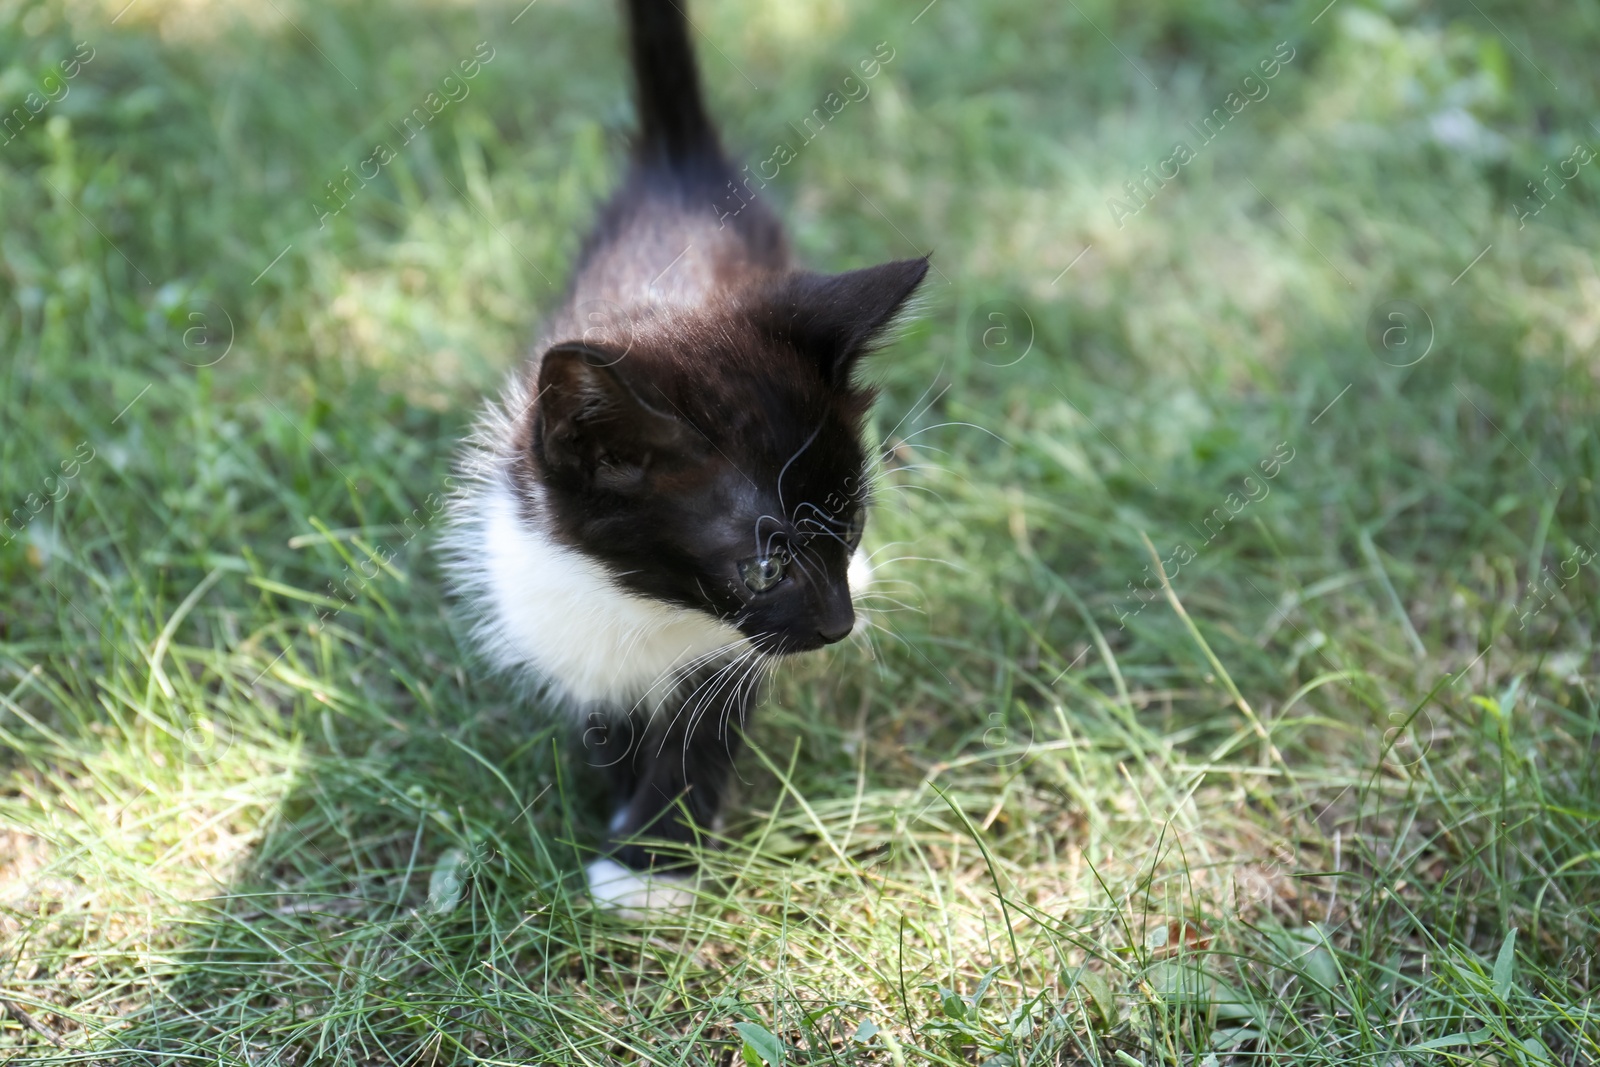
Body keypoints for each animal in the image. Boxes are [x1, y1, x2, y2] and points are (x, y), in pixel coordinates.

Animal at [444, 0, 934, 921]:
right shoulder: (544, 580)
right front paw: (617, 795)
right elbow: (604, 704)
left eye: (850, 528)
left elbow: (706, 721)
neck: (648, 598)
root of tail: (679, 169)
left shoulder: (736, 651)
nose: (839, 625)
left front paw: (651, 858)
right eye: (763, 565)